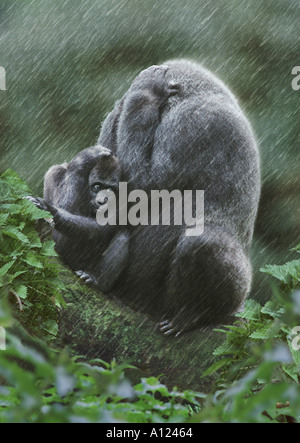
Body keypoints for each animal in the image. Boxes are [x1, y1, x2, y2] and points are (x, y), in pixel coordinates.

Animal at [28, 147, 130, 294]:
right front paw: (83, 160)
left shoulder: (123, 196)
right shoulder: (54, 172)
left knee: (123, 235)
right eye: (97, 186)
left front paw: (50, 209)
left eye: (110, 189)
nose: (102, 201)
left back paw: (97, 281)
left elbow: (102, 228)